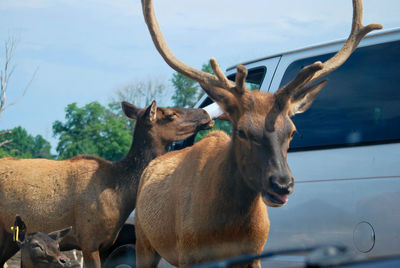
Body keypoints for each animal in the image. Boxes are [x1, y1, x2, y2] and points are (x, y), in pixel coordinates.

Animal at [134, 0, 382, 266]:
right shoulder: (188, 253)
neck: (227, 231)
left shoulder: (256, 254)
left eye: (292, 131)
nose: (282, 184)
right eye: (242, 130)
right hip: (143, 239)